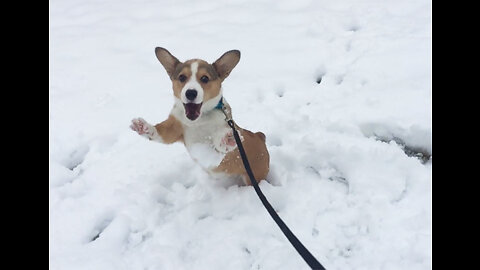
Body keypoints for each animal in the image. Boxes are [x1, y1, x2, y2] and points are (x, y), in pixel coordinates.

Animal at [129, 47, 268, 186]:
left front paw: (227, 141)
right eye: (182, 77)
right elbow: (160, 132)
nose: (190, 93)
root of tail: (260, 136)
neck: (198, 121)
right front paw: (143, 127)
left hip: (253, 176)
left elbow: (217, 151)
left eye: (205, 78)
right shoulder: (175, 127)